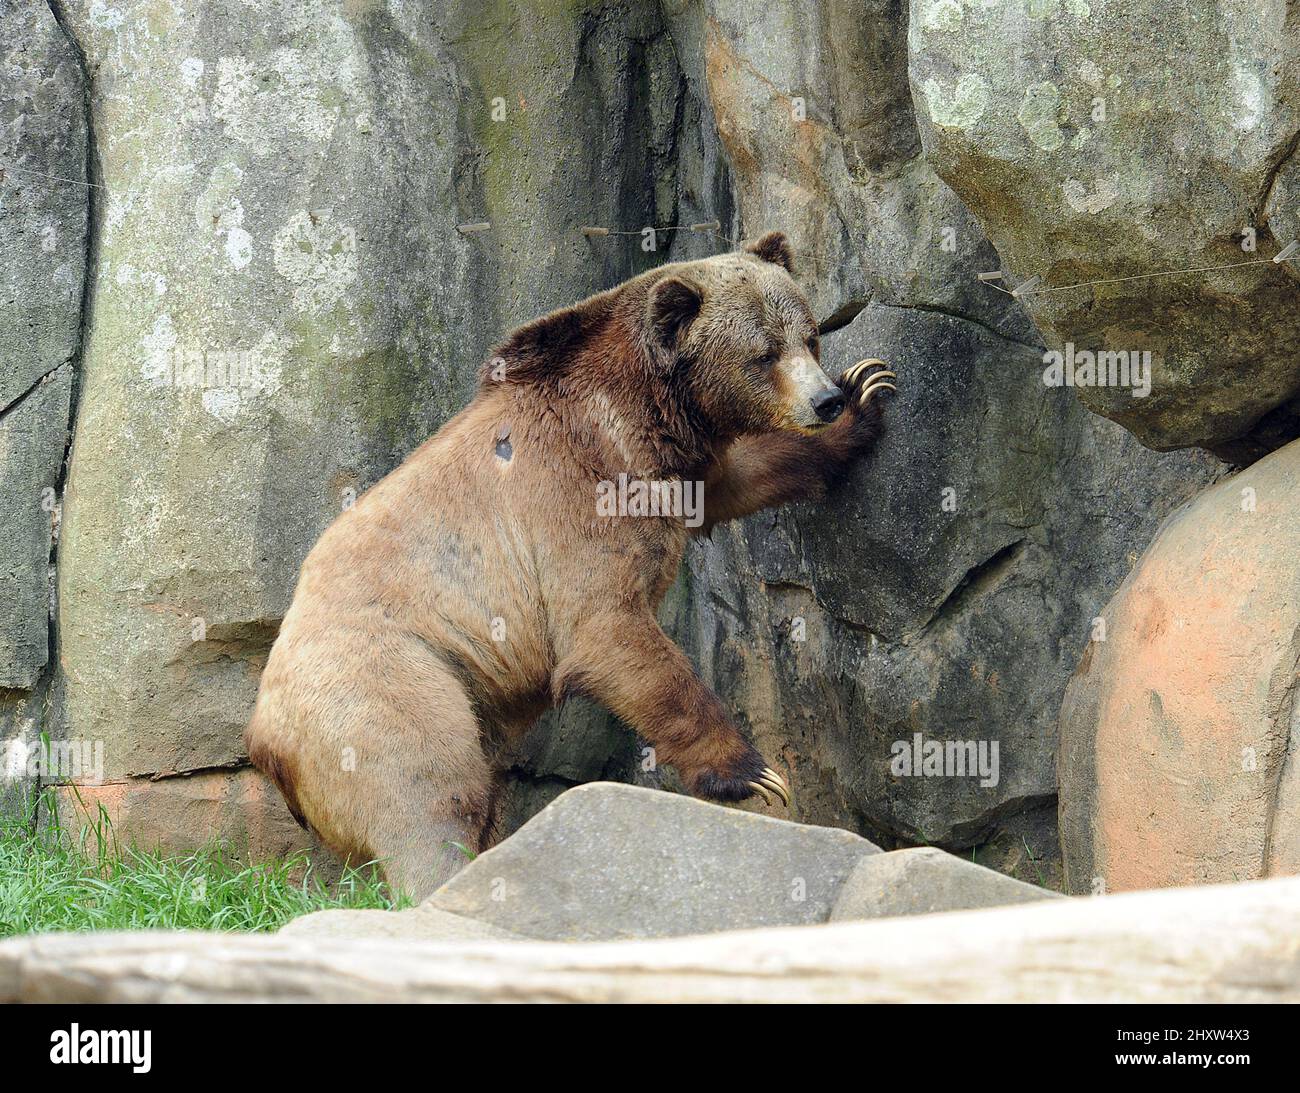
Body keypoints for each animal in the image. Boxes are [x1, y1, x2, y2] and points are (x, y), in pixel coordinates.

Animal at [244, 231, 897, 899]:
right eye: (763, 353)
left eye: (810, 337)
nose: (825, 398)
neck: (644, 408)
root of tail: (265, 738)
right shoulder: (573, 495)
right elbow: (608, 633)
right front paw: (754, 772)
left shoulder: (675, 471)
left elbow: (741, 477)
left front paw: (869, 391)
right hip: (386, 683)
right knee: (428, 794)